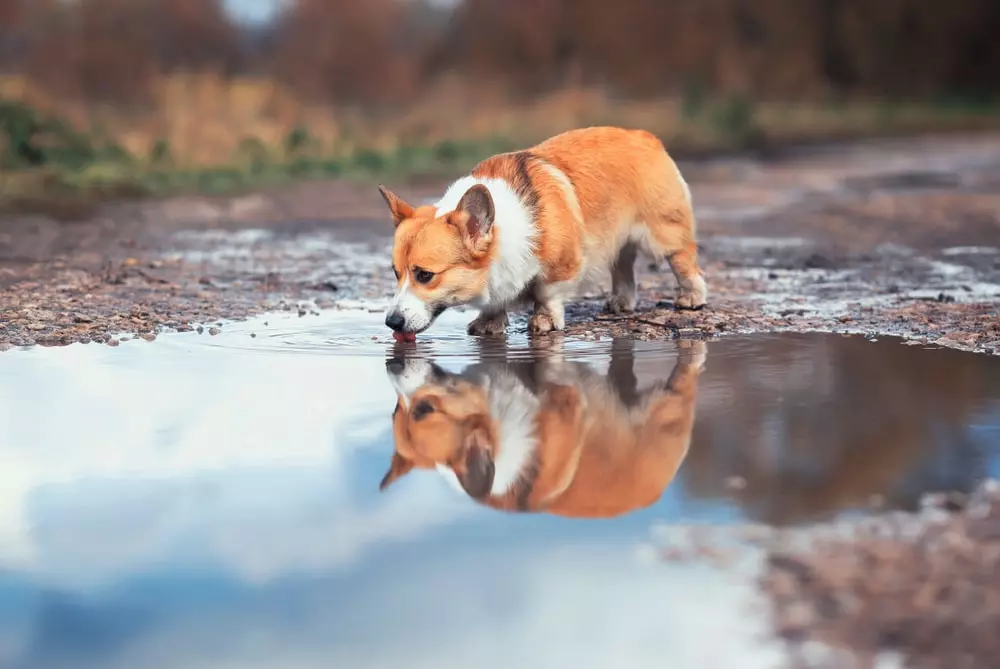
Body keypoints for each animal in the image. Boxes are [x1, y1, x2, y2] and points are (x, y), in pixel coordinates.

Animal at [376, 125, 712, 336]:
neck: (505, 226)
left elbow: (547, 293)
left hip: (663, 233)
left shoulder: (562, 266)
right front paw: (489, 322)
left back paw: (691, 297)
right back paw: (621, 301)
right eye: (396, 273)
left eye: (425, 275)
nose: (392, 323)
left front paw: (544, 320)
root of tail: (645, 136)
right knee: (622, 263)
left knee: (683, 260)